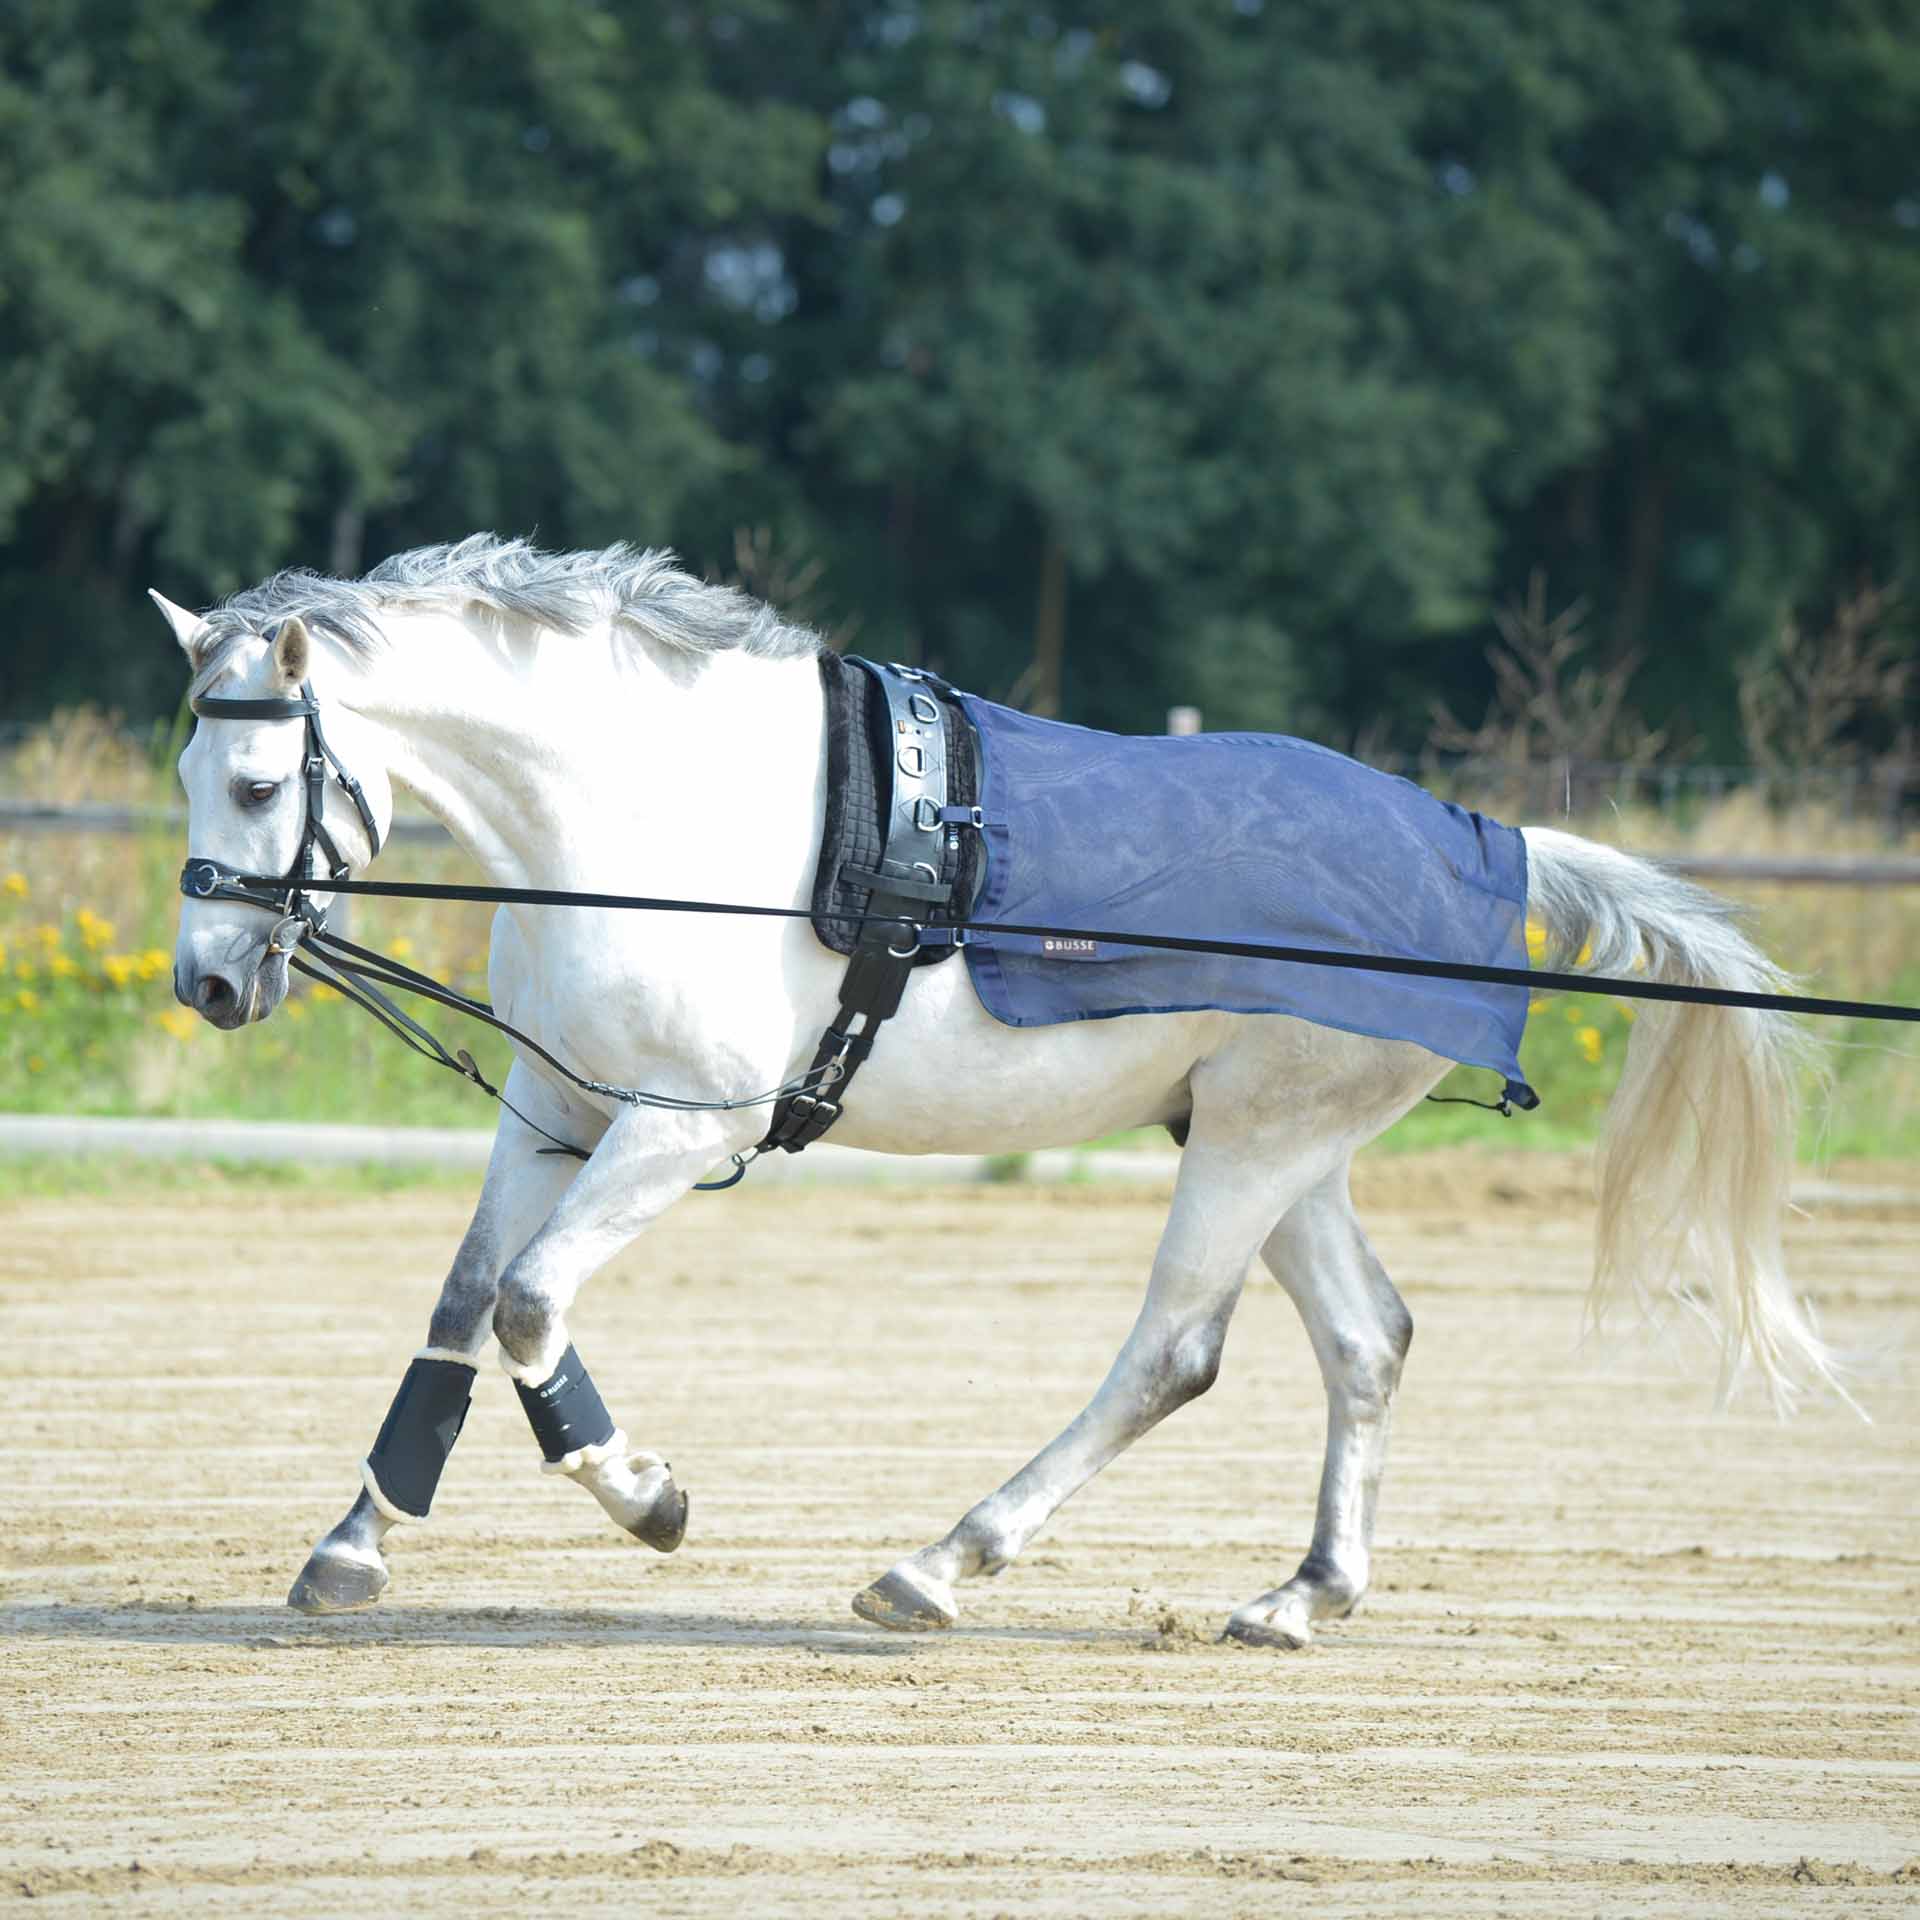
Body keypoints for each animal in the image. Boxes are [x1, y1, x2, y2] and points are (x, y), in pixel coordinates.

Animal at [157, 533, 1835, 1643]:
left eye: (256, 780)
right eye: (187, 775)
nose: (210, 985)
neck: (648, 821)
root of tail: (1487, 847)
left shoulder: (686, 1124)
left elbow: (527, 1306)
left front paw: (646, 1495)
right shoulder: (551, 1111)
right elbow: (462, 1304)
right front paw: (357, 1543)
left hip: (1256, 1142)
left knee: (1175, 1355)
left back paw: (940, 1565)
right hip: (1278, 1143)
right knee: (1368, 1341)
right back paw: (1302, 1597)